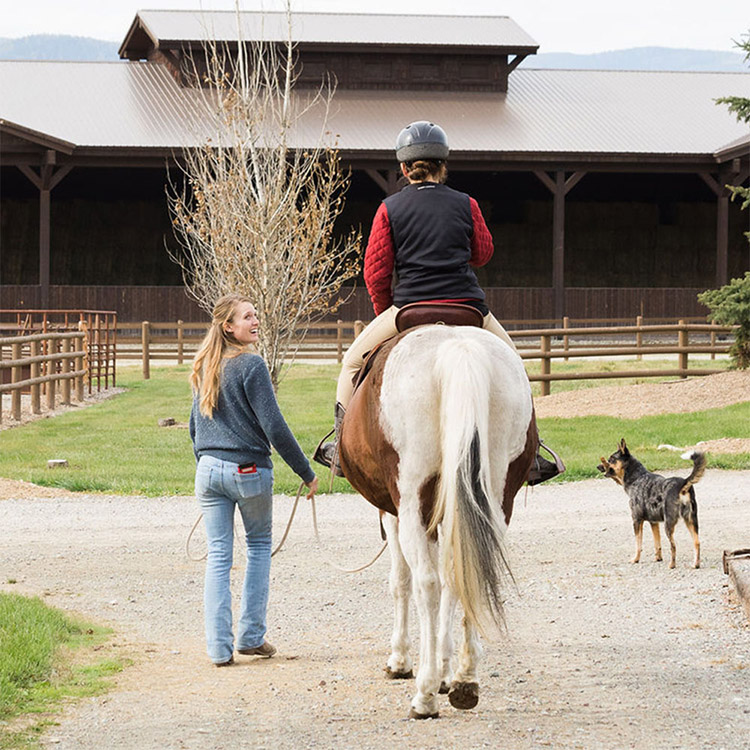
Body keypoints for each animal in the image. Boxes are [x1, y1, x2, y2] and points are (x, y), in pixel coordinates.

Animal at [338, 324, 536, 724]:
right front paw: (447, 670)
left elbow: (401, 581)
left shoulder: (395, 513)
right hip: (495, 496)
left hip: (413, 502)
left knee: (426, 584)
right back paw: (464, 680)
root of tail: (458, 349)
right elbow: (452, 579)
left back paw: (425, 694)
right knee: (466, 572)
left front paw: (401, 660)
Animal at [600, 440, 704, 568]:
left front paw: (635, 559)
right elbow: (657, 543)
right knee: (697, 542)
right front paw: (658, 558)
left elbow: (638, 544)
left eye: (611, 459)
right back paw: (695, 564)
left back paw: (672, 565)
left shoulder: (637, 520)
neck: (637, 478)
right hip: (691, 521)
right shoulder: (653, 522)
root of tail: (683, 483)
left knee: (673, 546)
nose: (598, 466)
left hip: (669, 524)